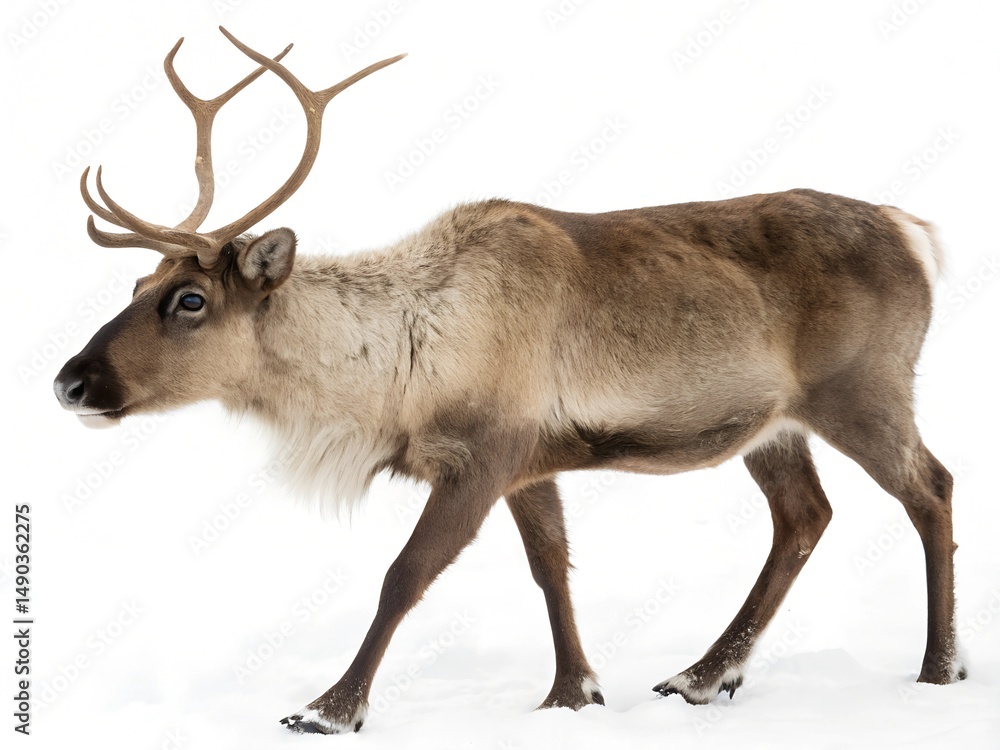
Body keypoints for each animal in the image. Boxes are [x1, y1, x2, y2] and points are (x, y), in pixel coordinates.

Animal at [53, 27, 965, 734]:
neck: (393, 370)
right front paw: (573, 692)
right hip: (773, 425)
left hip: (864, 390)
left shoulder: (484, 452)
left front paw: (329, 708)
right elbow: (551, 566)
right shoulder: (533, 461)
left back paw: (938, 668)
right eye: (136, 284)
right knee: (805, 515)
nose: (70, 381)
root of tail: (916, 231)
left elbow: (406, 573)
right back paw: (703, 676)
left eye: (191, 299)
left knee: (931, 487)